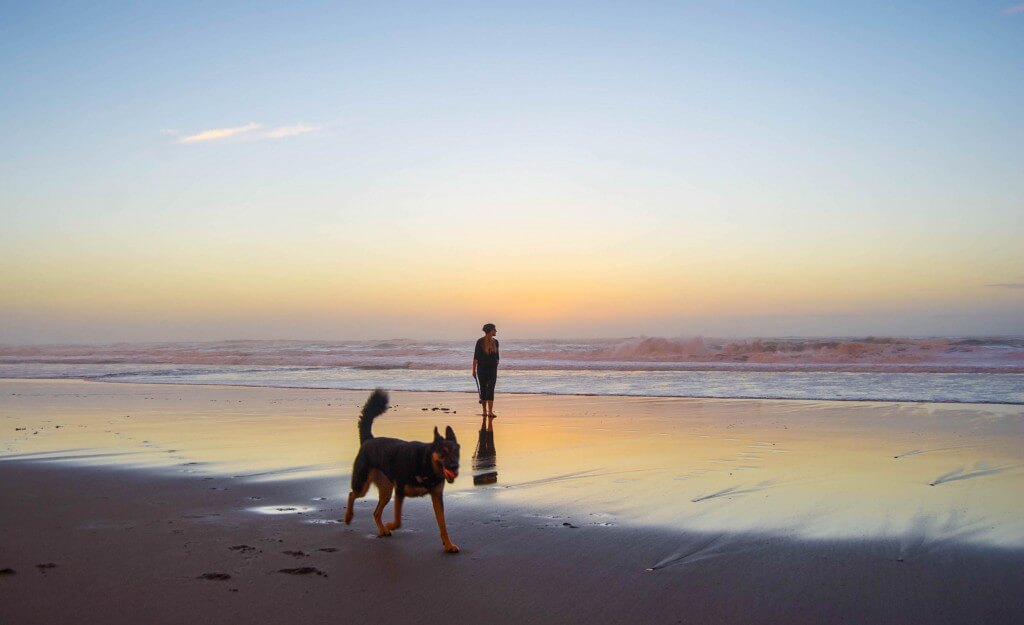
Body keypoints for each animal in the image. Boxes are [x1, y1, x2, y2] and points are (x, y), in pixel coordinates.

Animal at [342, 387, 462, 553]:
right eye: (443, 452)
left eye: (456, 452)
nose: (454, 467)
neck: (425, 463)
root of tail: (369, 439)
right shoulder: (399, 492)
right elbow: (398, 520)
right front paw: (390, 524)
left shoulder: (437, 497)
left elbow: (443, 524)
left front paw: (448, 544)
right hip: (364, 485)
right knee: (352, 494)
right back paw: (348, 517)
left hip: (386, 492)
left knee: (375, 512)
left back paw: (382, 530)